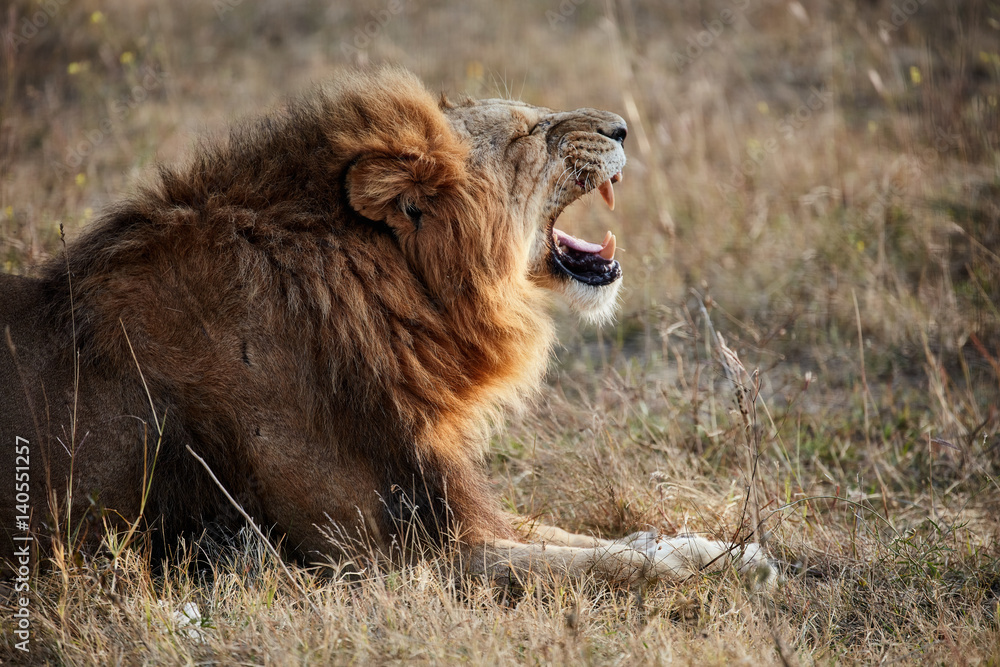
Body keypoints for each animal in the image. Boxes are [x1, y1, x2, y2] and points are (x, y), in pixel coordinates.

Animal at [1, 68, 773, 587]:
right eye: (526, 132)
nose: (620, 126)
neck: (399, 299)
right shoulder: (379, 553)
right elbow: (585, 565)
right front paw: (702, 570)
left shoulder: (436, 497)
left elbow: (582, 537)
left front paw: (719, 549)